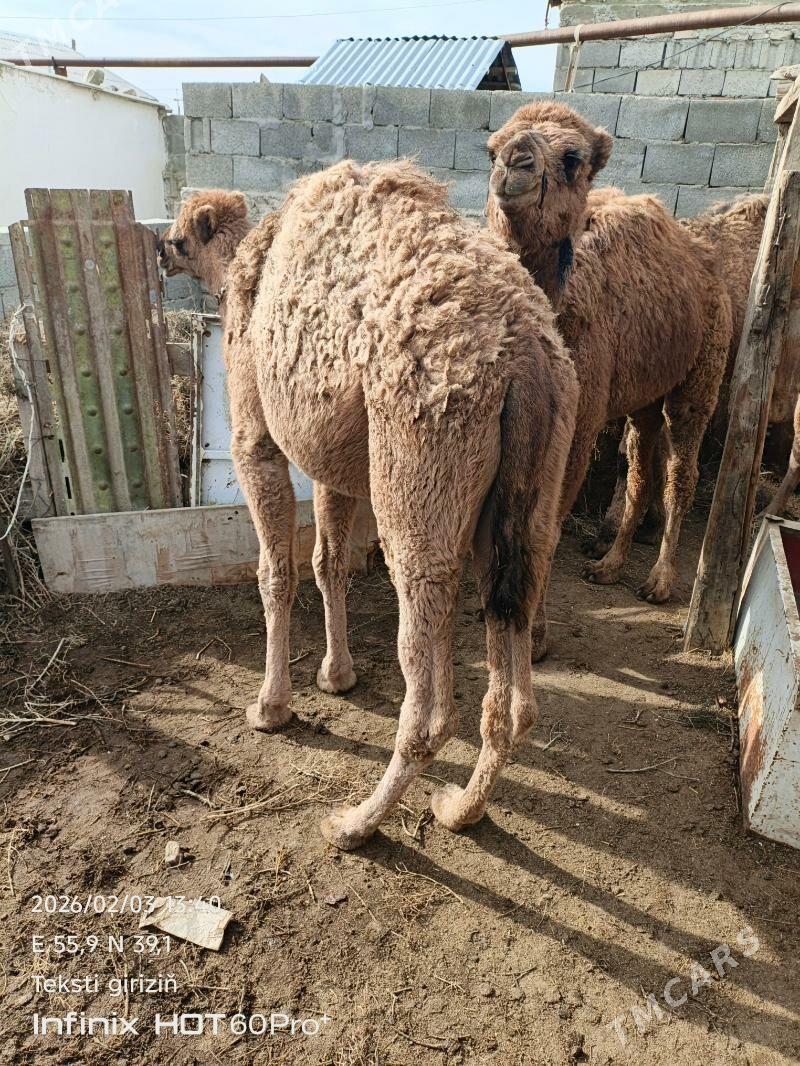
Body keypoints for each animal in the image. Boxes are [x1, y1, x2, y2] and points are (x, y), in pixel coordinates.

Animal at [156, 162, 578, 849]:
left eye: (177, 238)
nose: (159, 252)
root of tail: (527, 360)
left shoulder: (254, 434)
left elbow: (277, 572)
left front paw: (270, 707)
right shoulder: (337, 461)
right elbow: (328, 562)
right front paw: (337, 675)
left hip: (419, 461)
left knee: (425, 675)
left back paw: (356, 821)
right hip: (531, 493)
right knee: (512, 674)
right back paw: (460, 809)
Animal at [485, 101, 732, 657]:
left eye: (572, 158)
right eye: (489, 148)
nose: (515, 161)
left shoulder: (578, 424)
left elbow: (550, 521)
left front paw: (536, 635)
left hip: (700, 377)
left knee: (681, 470)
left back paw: (659, 582)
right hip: (644, 396)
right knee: (641, 462)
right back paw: (609, 564)